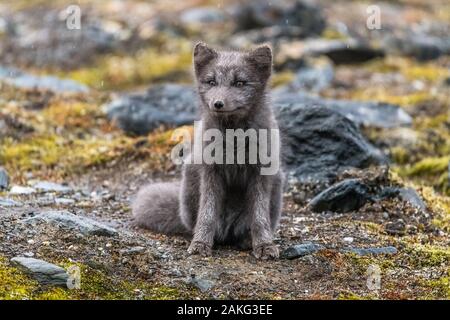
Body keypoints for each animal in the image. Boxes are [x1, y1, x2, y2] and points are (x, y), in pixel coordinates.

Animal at [132, 42, 284, 258]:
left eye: (240, 83)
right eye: (211, 82)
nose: (218, 103)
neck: (233, 139)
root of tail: (229, 231)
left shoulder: (261, 172)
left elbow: (259, 216)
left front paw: (264, 245)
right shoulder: (210, 171)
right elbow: (207, 213)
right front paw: (201, 243)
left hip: (278, 178)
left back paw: (247, 240)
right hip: (190, 174)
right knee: (197, 223)